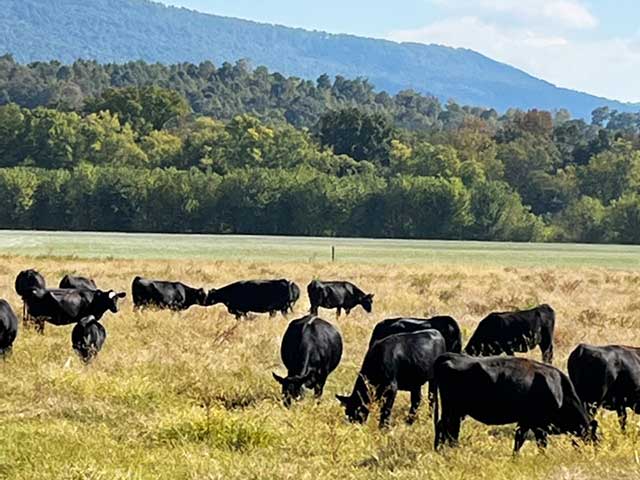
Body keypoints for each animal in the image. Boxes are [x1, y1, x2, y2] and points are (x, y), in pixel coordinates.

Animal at [432, 354, 596, 452]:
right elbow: (533, 442)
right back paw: (442, 450)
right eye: (594, 434)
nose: (596, 448)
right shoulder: (535, 422)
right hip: (452, 409)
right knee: (445, 427)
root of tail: (451, 356)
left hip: (457, 411)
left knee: (449, 430)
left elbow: (521, 440)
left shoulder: (527, 421)